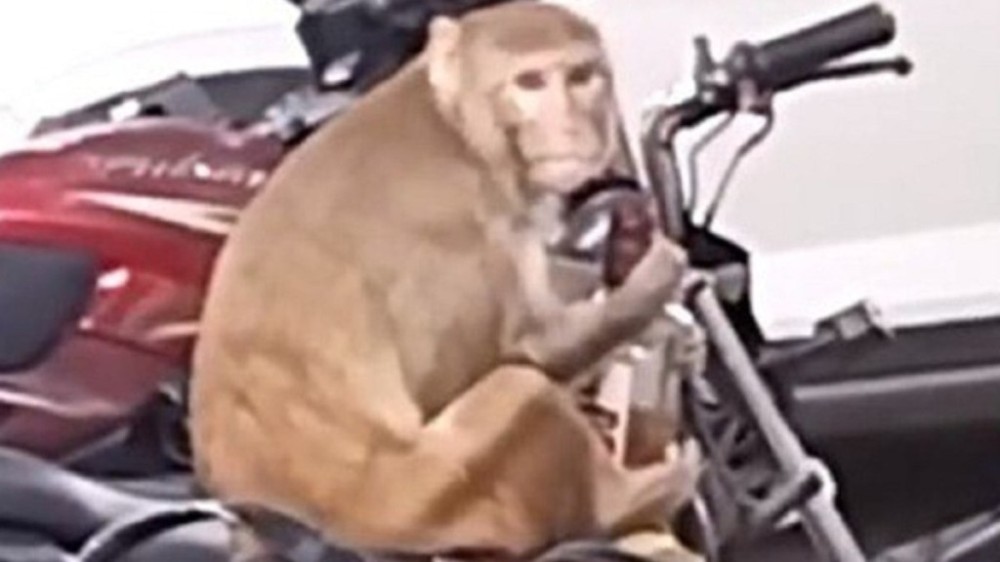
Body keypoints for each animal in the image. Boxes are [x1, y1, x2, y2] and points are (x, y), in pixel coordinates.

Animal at [188, 2, 700, 559]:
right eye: (531, 82)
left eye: (582, 76)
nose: (572, 126)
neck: (453, 127)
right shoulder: (461, 225)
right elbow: (525, 352)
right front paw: (653, 285)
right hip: (428, 504)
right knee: (522, 388)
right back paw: (630, 500)